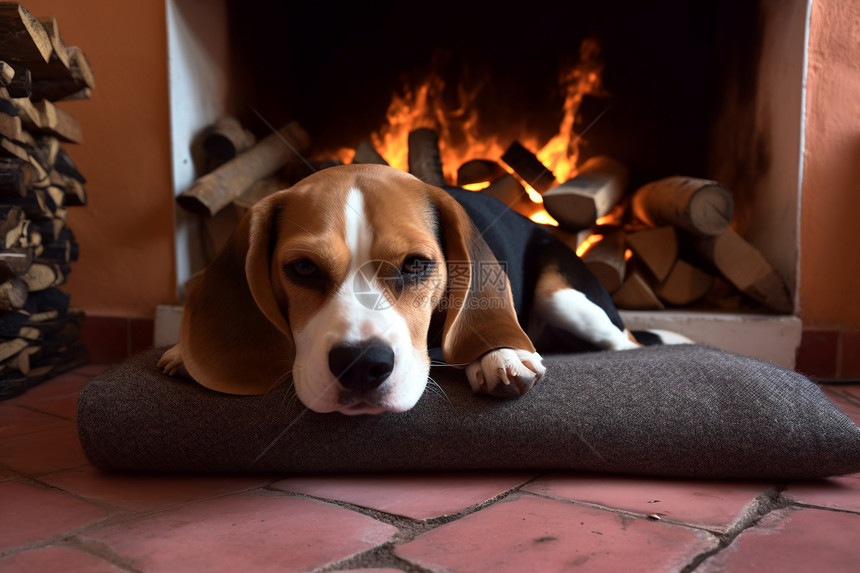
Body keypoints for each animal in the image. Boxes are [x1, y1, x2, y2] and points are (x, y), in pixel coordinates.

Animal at [161, 163, 644, 414]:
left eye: (415, 265)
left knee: (627, 343)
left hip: (567, 300)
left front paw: (500, 353)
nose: (360, 366)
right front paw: (184, 352)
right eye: (303, 268)